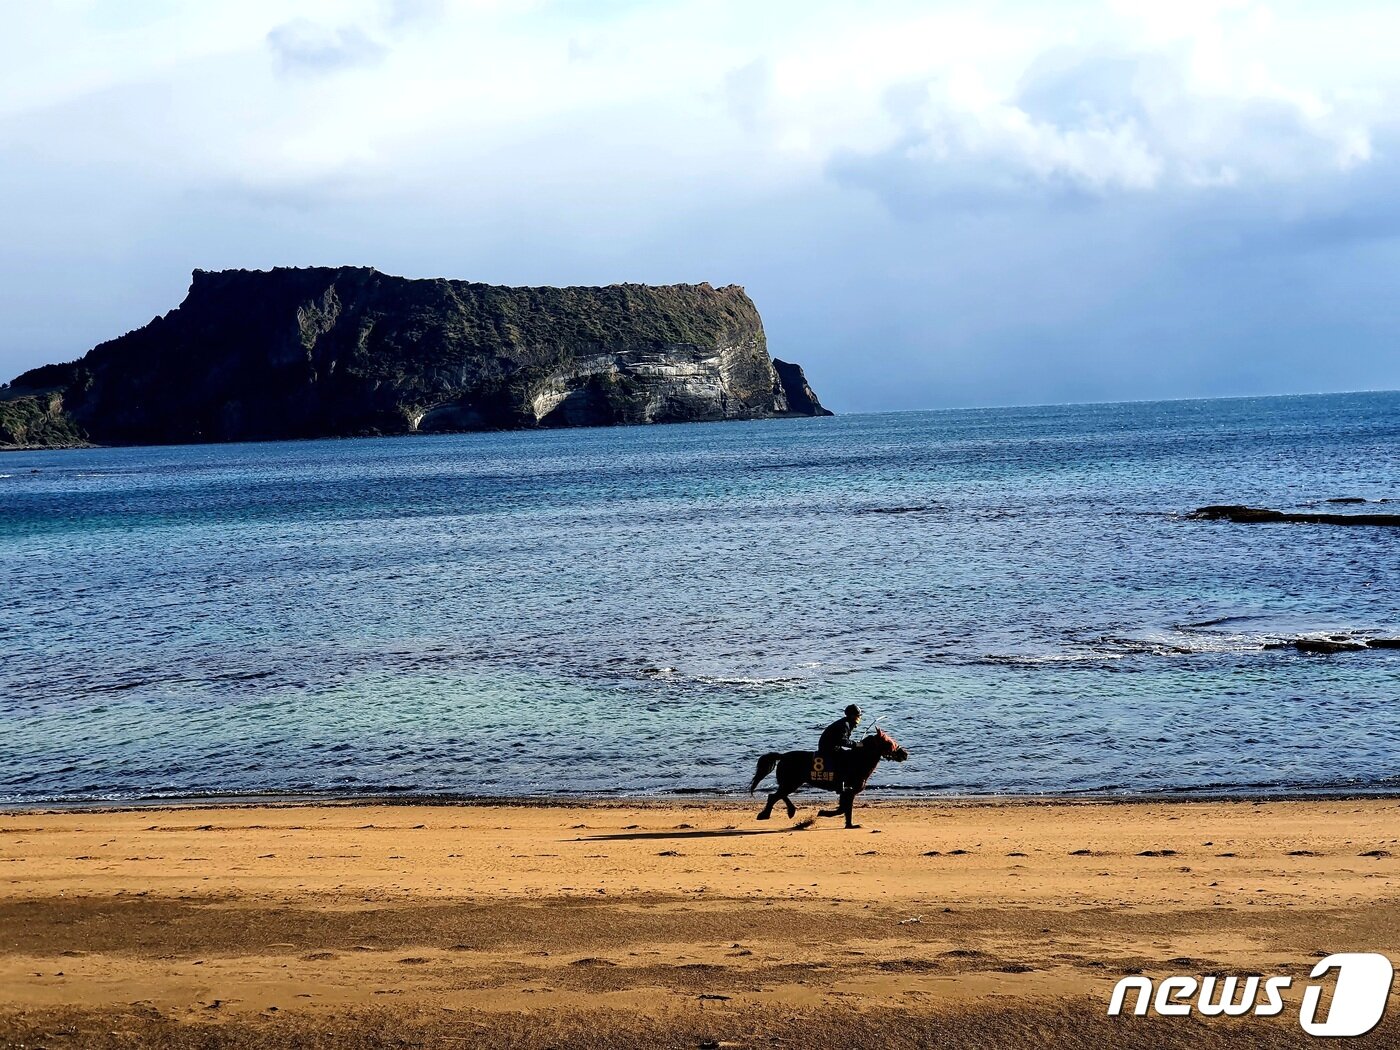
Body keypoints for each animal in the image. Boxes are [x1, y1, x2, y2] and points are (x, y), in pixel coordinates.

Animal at [750, 733, 912, 828]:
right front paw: (826, 814)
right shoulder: (849, 790)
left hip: (791, 783)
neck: (858, 760)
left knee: (779, 795)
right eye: (889, 742)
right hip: (791, 782)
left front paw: (847, 823)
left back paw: (790, 811)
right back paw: (767, 814)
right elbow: (844, 809)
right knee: (774, 796)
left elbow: (844, 808)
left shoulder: (846, 791)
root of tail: (782, 756)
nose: (905, 753)